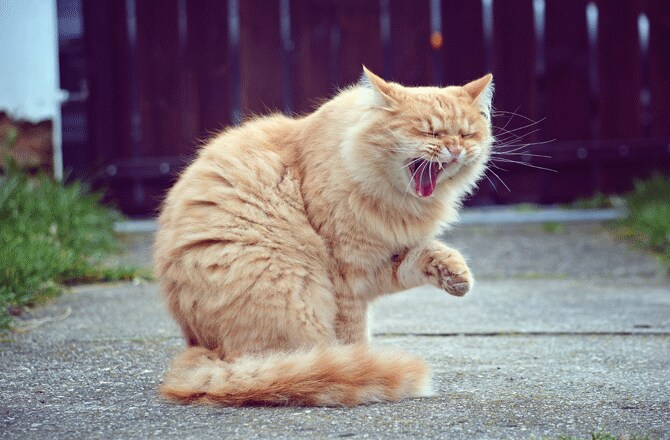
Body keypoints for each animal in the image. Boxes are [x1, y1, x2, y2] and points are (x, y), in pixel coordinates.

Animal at [154, 67, 493, 406]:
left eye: (466, 135)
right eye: (429, 133)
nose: (455, 150)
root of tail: (202, 349)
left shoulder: (379, 264)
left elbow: (425, 254)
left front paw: (455, 276)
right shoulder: (348, 276)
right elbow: (354, 334)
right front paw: (362, 362)